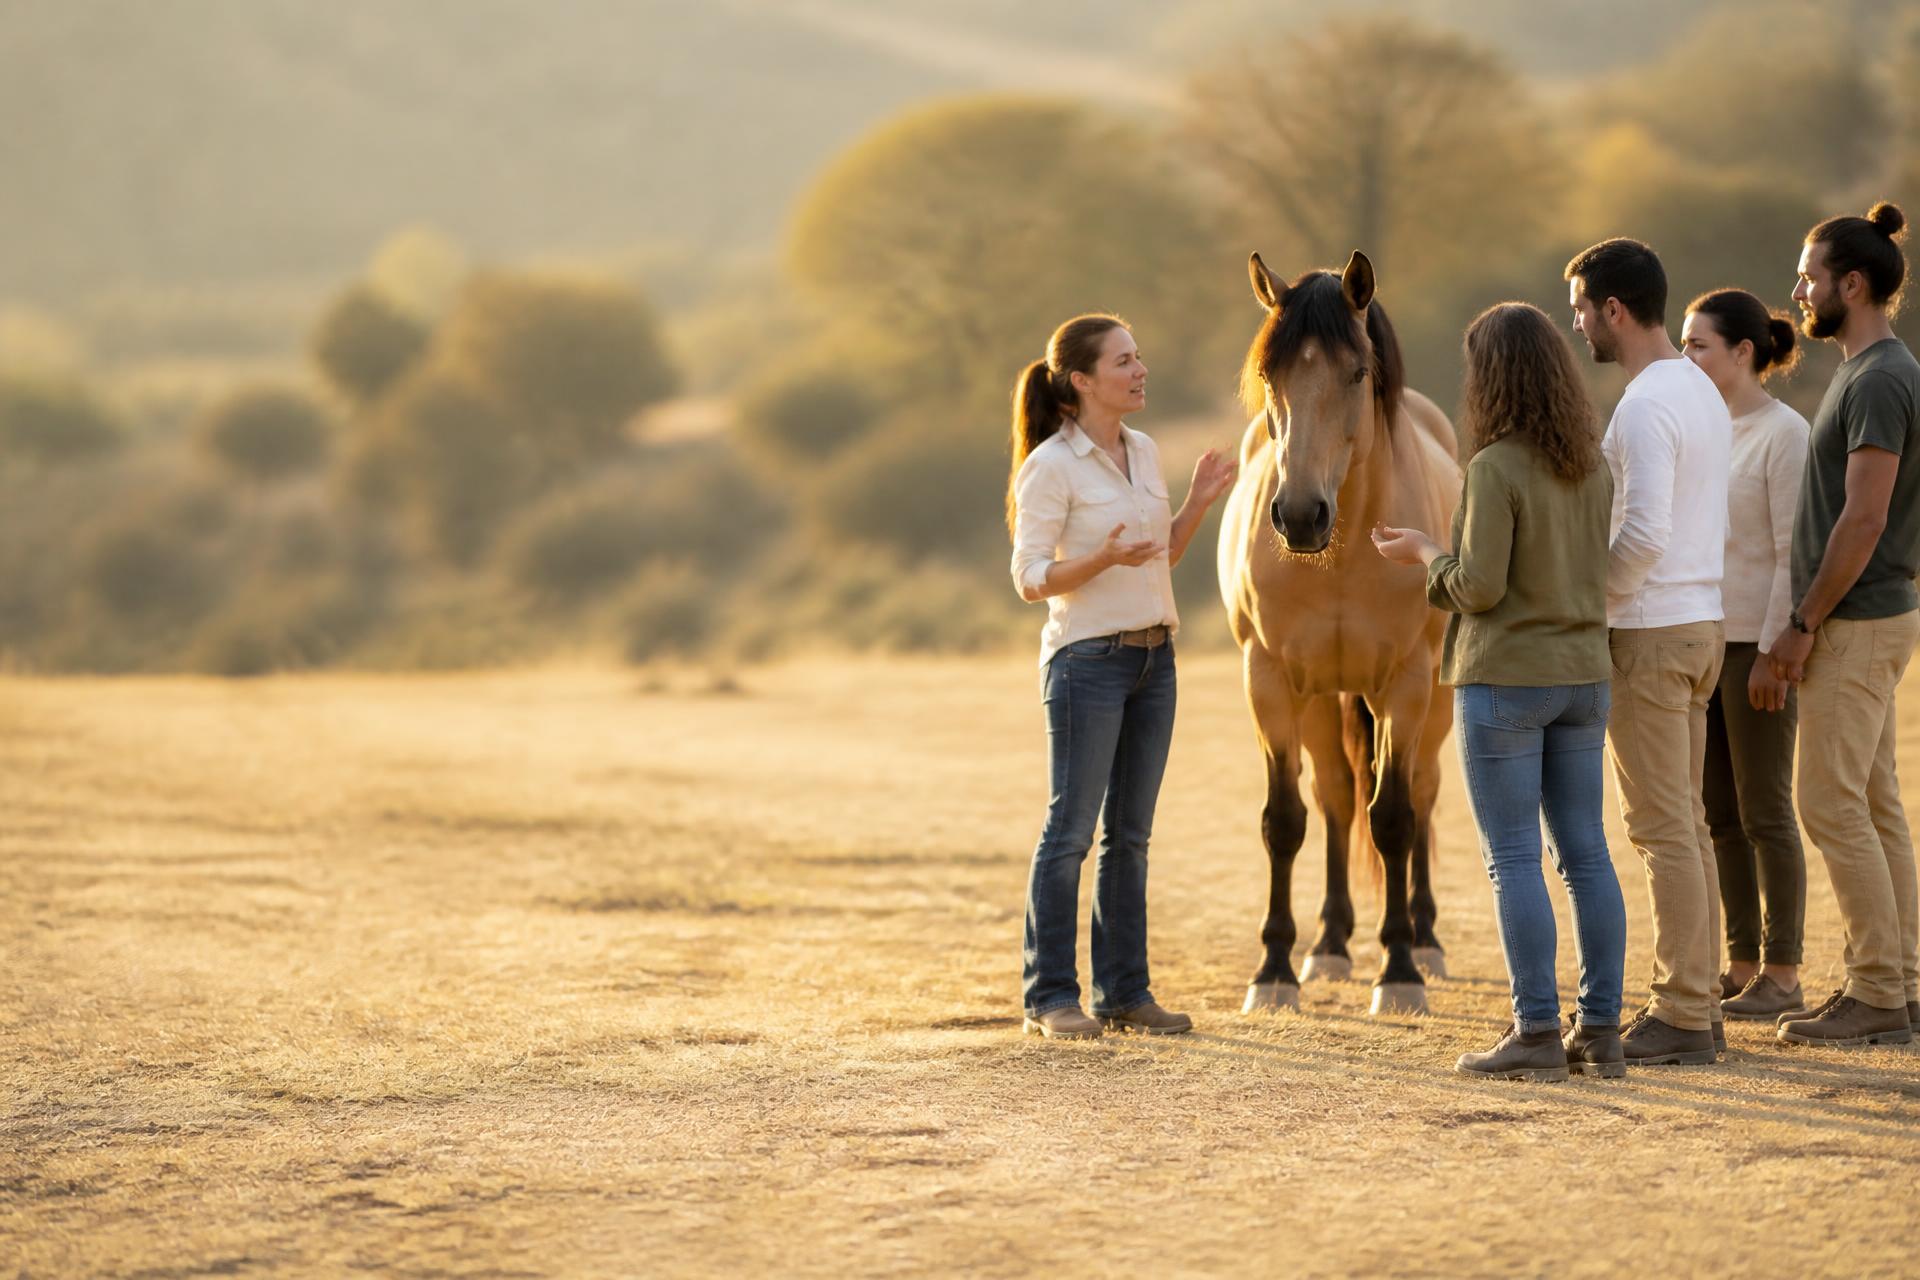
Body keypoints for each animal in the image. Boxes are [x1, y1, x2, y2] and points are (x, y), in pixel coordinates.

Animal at [1216, 249, 1461, 1016]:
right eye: (1271, 377)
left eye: (1356, 373)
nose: (1298, 515)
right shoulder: (1268, 681)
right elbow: (1286, 819)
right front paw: (1274, 971)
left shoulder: (1406, 685)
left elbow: (1395, 817)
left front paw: (1400, 971)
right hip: (1323, 699)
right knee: (1333, 798)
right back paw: (1327, 944)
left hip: (1432, 700)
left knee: (1421, 791)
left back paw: (1424, 938)